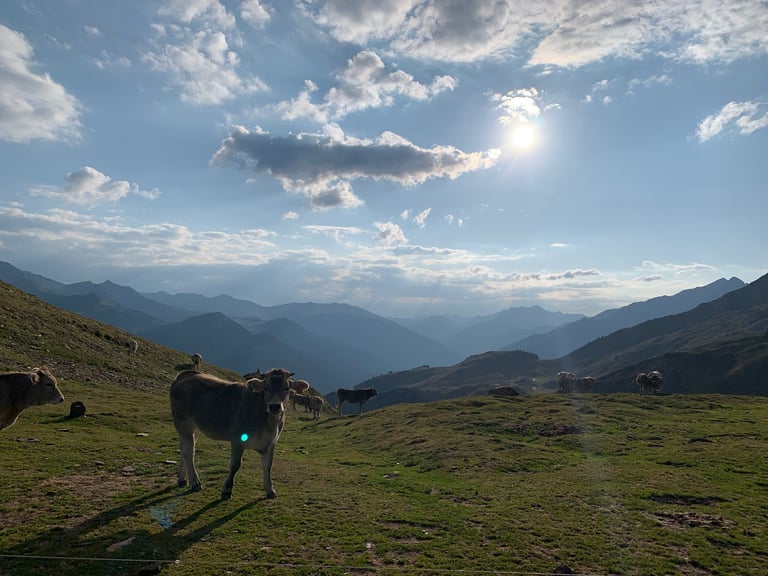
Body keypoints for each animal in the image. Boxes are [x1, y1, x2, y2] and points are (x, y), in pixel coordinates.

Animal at [170, 368, 309, 500]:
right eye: (266, 388)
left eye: (287, 388)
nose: (275, 406)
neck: (268, 424)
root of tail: (186, 374)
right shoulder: (238, 438)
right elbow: (235, 465)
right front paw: (227, 490)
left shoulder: (271, 442)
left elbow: (268, 465)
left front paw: (270, 490)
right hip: (184, 424)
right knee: (188, 452)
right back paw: (195, 483)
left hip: (195, 428)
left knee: (185, 449)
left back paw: (182, 479)